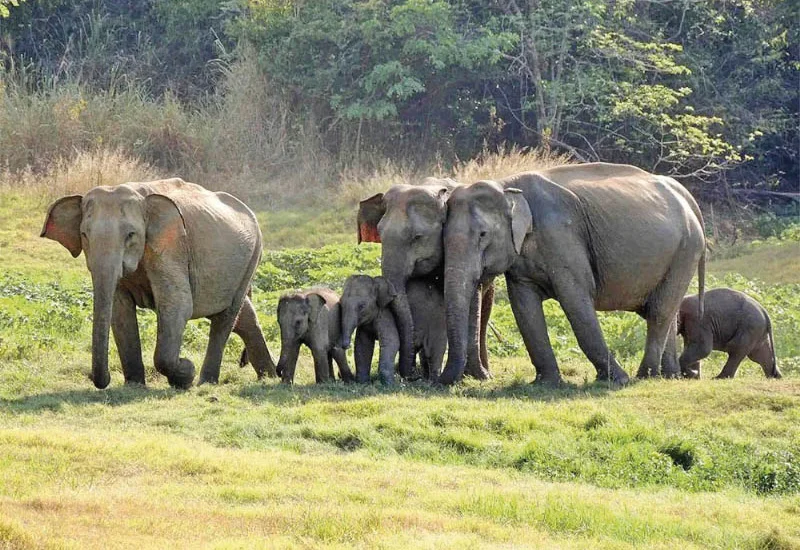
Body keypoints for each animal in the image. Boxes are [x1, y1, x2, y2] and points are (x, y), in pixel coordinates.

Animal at [40, 178, 277, 389]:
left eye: (131, 235)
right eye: (84, 234)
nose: (103, 379)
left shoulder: (171, 247)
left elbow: (178, 304)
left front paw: (185, 372)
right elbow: (120, 311)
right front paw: (134, 386)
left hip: (253, 257)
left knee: (226, 317)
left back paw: (206, 382)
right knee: (243, 315)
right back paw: (270, 377)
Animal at [358, 177, 494, 381]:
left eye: (417, 237)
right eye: (379, 234)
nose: (407, 375)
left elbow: (473, 300)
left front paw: (477, 376)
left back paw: (484, 372)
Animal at [440, 162, 706, 386]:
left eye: (483, 234)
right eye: (443, 236)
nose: (441, 381)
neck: (507, 184)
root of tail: (686, 195)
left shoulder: (562, 237)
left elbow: (576, 299)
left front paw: (617, 379)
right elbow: (524, 308)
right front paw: (546, 383)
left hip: (686, 250)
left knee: (659, 311)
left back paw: (644, 376)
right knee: (666, 310)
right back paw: (669, 376)